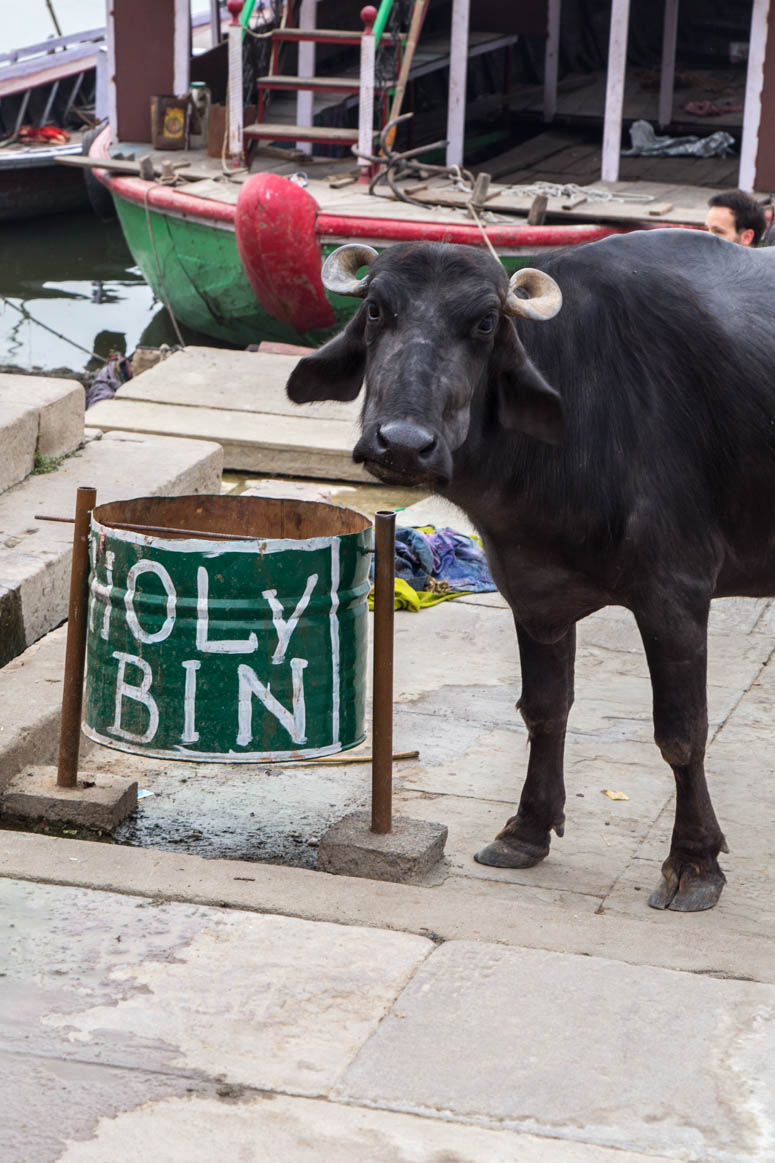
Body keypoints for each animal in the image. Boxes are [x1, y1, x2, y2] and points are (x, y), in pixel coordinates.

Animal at [283, 229, 772, 907]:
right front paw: (526, 830)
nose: (402, 444)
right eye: (377, 309)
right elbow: (544, 709)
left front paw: (694, 862)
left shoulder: (676, 596)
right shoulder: (532, 591)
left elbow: (682, 733)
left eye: (486, 323)